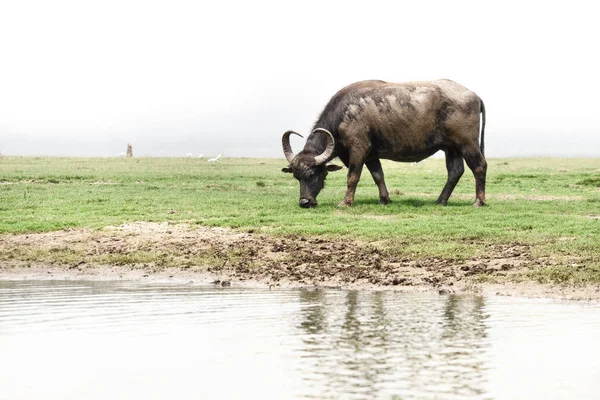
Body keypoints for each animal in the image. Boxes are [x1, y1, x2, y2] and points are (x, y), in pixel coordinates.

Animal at [282, 79, 488, 208]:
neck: (342, 114)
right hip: (451, 148)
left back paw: (479, 202)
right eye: (296, 176)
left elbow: (352, 177)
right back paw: (440, 201)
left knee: (479, 166)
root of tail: (475, 96)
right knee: (455, 171)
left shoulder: (358, 150)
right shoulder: (371, 156)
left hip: (467, 144)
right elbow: (378, 176)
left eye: (312, 174)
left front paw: (346, 202)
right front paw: (385, 199)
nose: (304, 202)